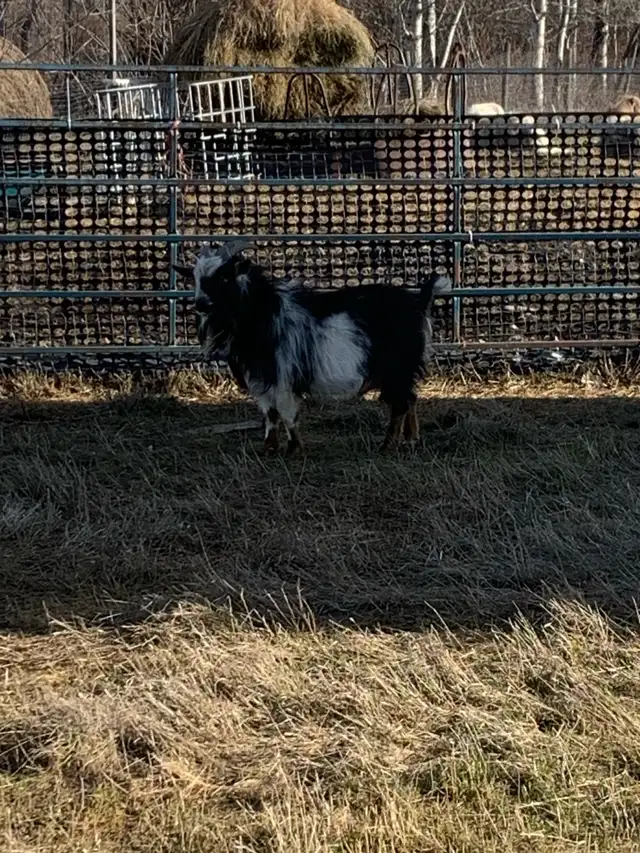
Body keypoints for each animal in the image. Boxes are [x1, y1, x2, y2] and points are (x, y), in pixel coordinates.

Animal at [174, 241, 451, 455]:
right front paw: (268, 449)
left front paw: (294, 450)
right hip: (404, 369)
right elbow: (269, 414)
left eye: (223, 277)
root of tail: (418, 301)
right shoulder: (260, 377)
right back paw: (411, 440)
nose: (200, 304)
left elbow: (286, 412)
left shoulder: (281, 375)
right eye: (196, 278)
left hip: (398, 366)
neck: (262, 311)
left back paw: (387, 446)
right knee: (410, 397)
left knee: (400, 404)